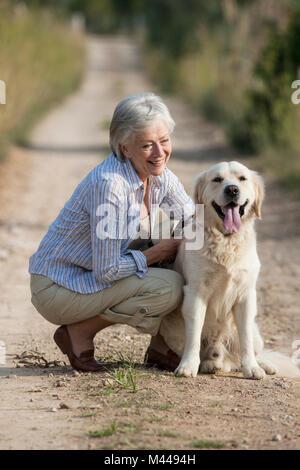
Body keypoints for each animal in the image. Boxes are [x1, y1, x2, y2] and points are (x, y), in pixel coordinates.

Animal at [161, 161, 298, 378]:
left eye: (242, 178)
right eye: (217, 179)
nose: (232, 189)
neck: (226, 239)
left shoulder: (246, 295)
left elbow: (246, 340)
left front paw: (252, 368)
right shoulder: (195, 292)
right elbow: (194, 335)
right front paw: (188, 366)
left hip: (256, 333)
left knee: (247, 352)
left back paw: (263, 365)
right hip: (171, 330)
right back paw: (210, 363)